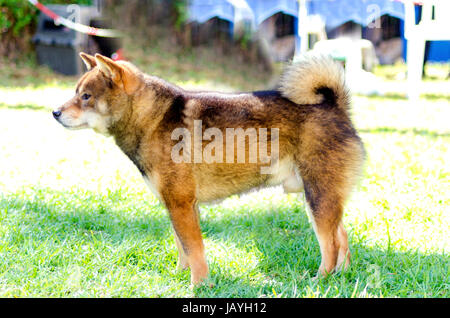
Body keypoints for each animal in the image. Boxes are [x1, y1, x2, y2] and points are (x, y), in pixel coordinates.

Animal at [53, 52, 366, 286]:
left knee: (331, 245)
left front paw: (199, 285)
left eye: (86, 96)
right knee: (343, 238)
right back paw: (341, 277)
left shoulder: (181, 204)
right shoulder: (178, 206)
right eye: (77, 93)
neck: (151, 118)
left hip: (318, 198)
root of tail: (335, 105)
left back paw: (321, 279)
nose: (55, 112)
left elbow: (195, 250)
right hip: (320, 199)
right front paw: (180, 276)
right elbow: (183, 248)